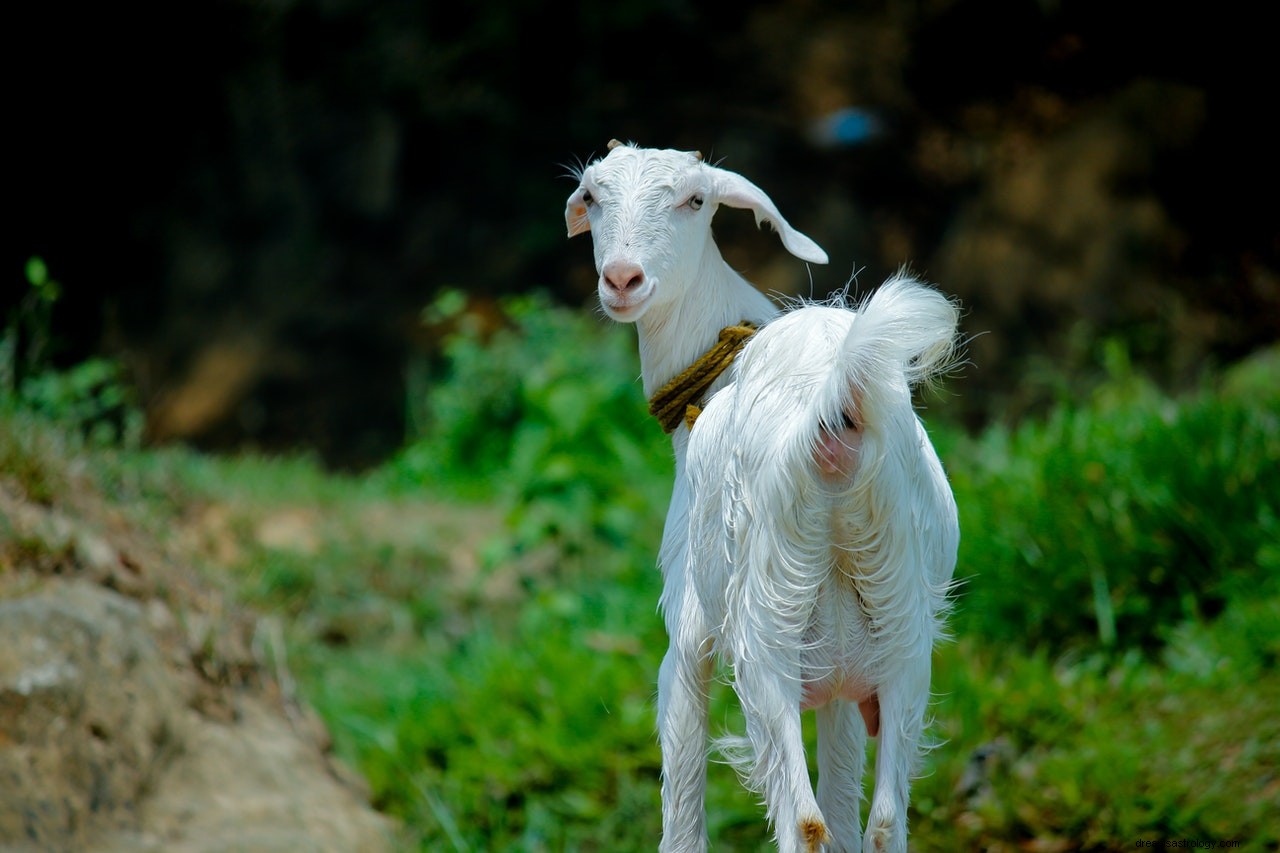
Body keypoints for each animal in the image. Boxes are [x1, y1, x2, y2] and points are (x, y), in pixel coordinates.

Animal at [565, 140, 957, 850]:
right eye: (593, 195)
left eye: (696, 199)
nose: (623, 279)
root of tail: (835, 410)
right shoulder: (842, 686)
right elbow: (847, 803)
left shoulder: (687, 628)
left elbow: (683, 802)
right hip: (902, 634)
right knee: (883, 819)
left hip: (765, 625)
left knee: (801, 819)